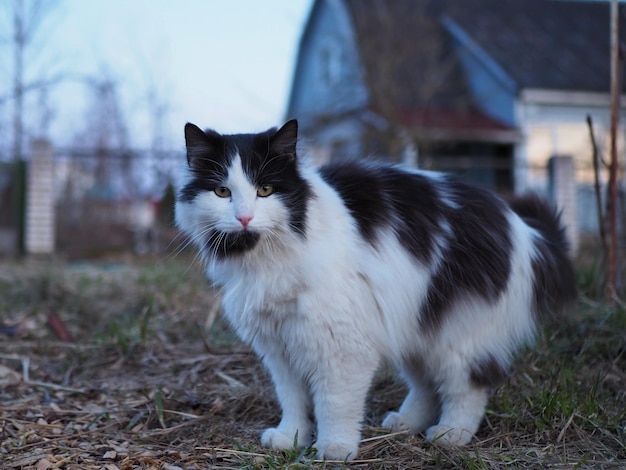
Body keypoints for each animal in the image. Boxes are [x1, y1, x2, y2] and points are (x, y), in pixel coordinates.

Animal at [174, 119, 576, 460]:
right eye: (222, 191)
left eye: (265, 189)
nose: (244, 217)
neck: (265, 259)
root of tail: (521, 227)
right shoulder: (278, 347)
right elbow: (292, 399)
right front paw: (291, 438)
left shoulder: (340, 344)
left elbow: (334, 403)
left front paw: (334, 448)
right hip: (416, 330)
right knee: (426, 387)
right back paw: (405, 422)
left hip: (457, 336)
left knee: (466, 389)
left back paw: (450, 434)